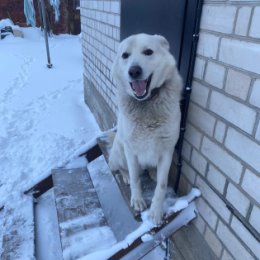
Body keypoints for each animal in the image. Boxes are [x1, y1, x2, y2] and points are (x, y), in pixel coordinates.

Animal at [108, 33, 182, 223]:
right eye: (125, 55)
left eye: (148, 52)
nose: (134, 71)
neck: (147, 103)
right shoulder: (131, 149)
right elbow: (136, 179)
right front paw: (137, 200)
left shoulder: (167, 150)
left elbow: (162, 185)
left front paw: (156, 211)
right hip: (119, 151)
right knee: (121, 168)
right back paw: (125, 175)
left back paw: (153, 172)